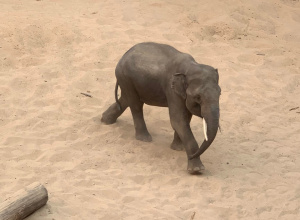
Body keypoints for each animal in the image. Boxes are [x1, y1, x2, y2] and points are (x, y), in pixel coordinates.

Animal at [102, 42, 221, 174]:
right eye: (198, 97)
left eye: (220, 93)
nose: (191, 156)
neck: (191, 66)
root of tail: (123, 56)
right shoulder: (171, 89)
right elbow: (177, 120)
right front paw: (196, 170)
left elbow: (185, 118)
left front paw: (178, 149)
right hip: (126, 78)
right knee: (136, 105)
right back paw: (144, 139)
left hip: (129, 81)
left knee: (126, 99)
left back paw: (105, 120)